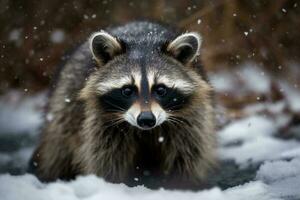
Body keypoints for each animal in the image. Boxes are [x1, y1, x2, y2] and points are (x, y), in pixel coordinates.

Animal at [29, 21, 217, 190]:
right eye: (127, 90)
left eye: (161, 89)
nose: (146, 119)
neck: (144, 41)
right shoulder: (102, 123)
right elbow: (105, 158)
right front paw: (112, 184)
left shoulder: (190, 120)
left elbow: (187, 155)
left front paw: (183, 185)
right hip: (64, 106)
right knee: (58, 151)